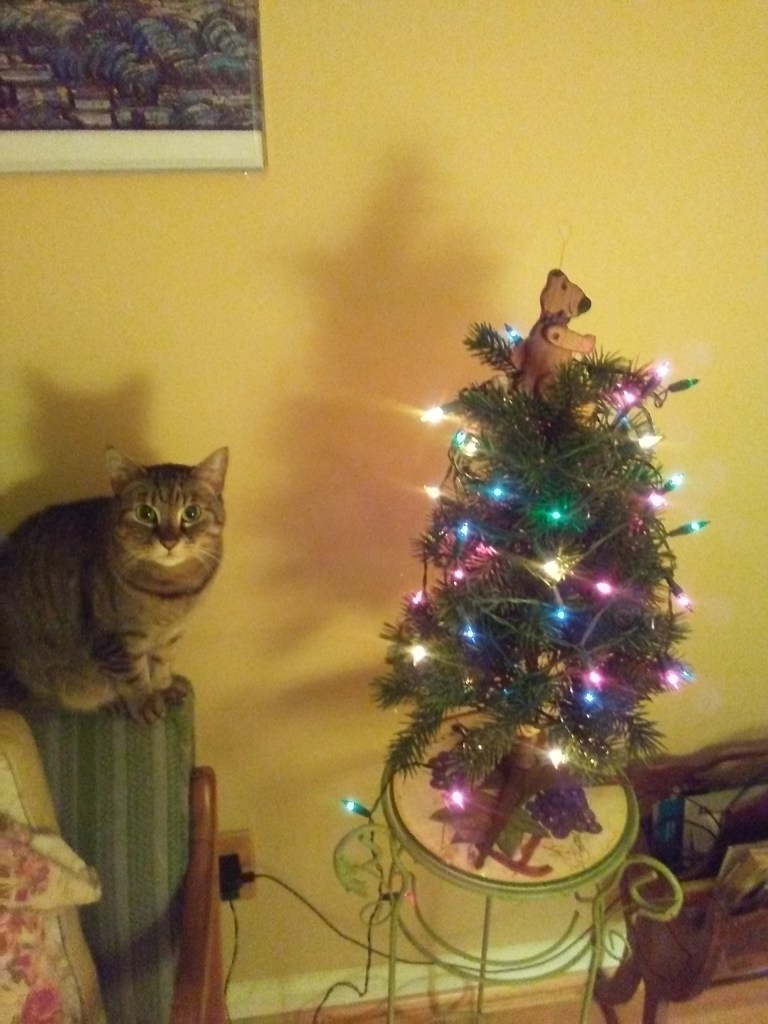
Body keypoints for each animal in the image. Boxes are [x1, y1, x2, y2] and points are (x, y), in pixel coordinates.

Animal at [0, 447, 228, 723]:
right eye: (145, 513)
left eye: (191, 513)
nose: (169, 541)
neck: (172, 589)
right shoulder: (117, 638)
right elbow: (134, 675)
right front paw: (144, 702)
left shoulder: (171, 636)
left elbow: (162, 664)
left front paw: (164, 687)